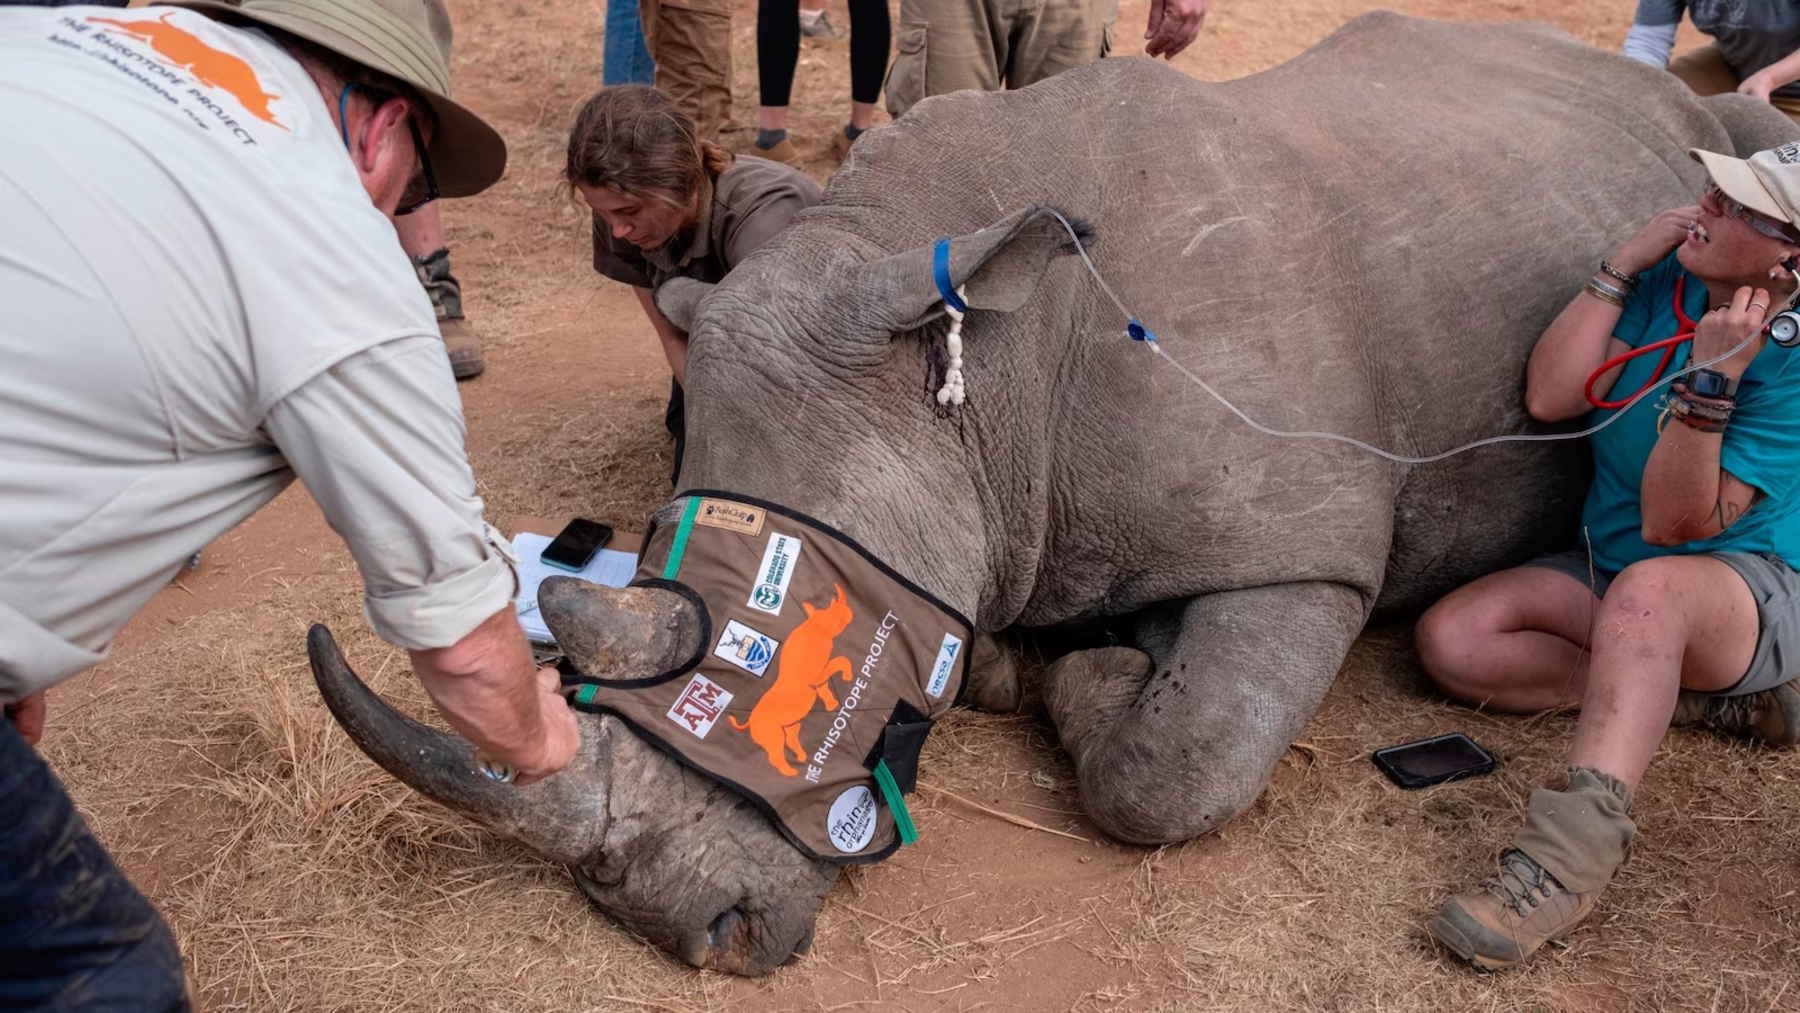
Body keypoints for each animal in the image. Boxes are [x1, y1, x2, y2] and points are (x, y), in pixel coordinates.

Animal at [305, 12, 1800, 976]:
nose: (686, 929)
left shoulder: (1305, 545)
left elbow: (1179, 762)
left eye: (755, 646)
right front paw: (1032, 660)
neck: (989, 385)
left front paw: (1095, 677)